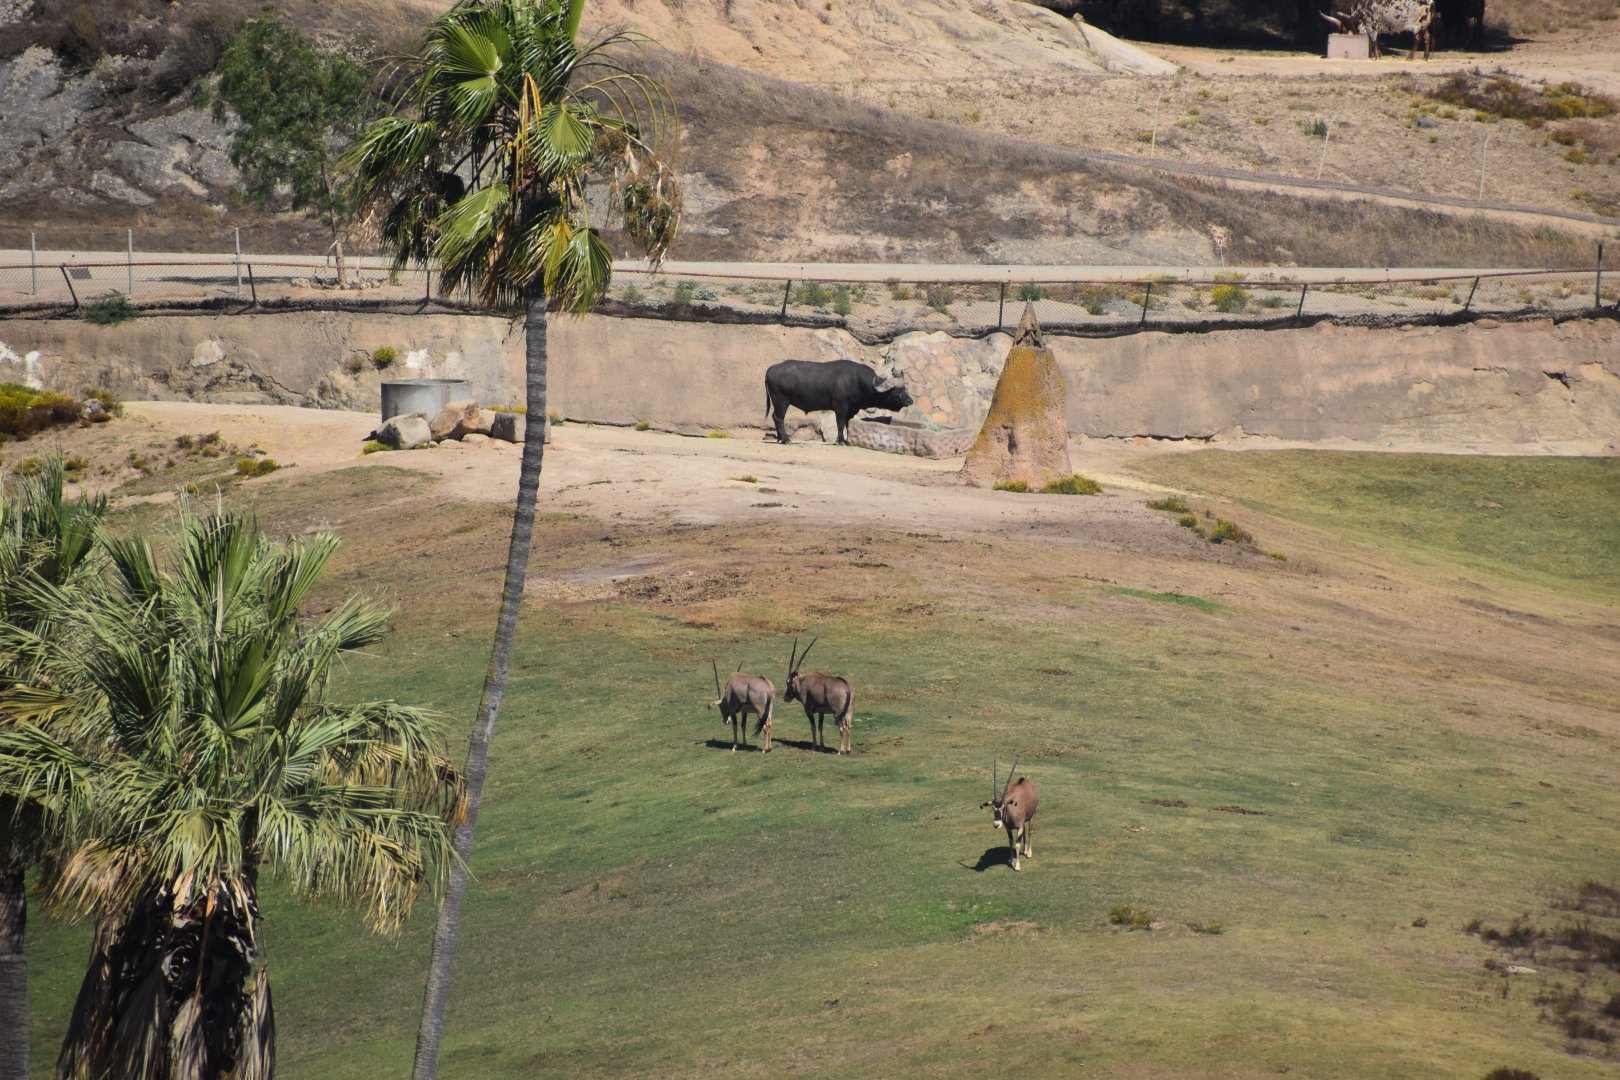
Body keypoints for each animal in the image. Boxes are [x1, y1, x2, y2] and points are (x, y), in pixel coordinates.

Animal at [764, 359, 913, 445]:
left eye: (905, 389)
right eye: (897, 391)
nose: (910, 401)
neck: (858, 382)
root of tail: (771, 368)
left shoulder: (851, 410)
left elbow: (847, 424)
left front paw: (846, 440)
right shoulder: (840, 407)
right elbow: (840, 423)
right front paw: (840, 441)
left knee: (775, 417)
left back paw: (780, 439)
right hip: (781, 401)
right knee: (778, 418)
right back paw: (786, 439)